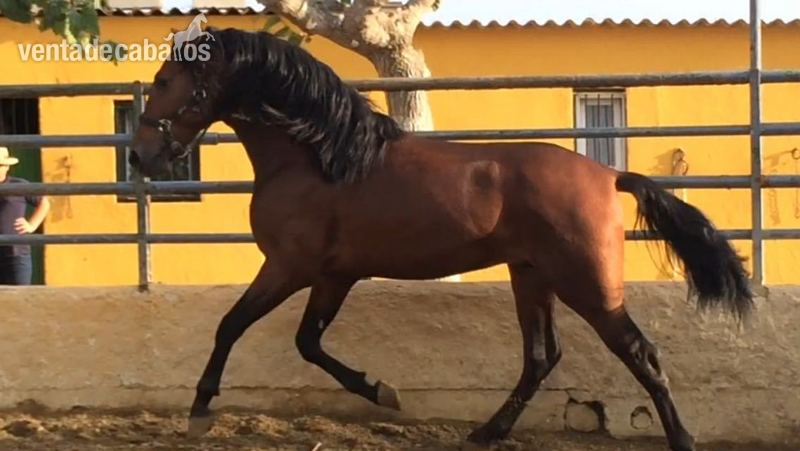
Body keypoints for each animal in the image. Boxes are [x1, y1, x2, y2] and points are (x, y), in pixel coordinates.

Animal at [130, 27, 754, 451]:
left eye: (163, 82)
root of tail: (607, 173)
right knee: (541, 357)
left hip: (588, 286)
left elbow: (232, 325)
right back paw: (486, 431)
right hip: (532, 277)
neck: (322, 158)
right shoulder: (333, 276)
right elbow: (308, 342)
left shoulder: (289, 268)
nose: (141, 156)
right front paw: (382, 391)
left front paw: (200, 408)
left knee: (638, 352)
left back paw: (681, 438)